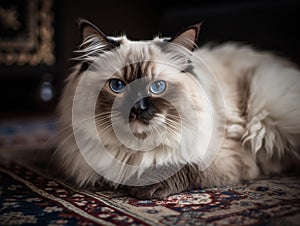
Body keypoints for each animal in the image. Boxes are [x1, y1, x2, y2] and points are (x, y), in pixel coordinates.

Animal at [55, 19, 300, 199]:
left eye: (157, 87)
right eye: (117, 86)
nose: (138, 108)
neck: (135, 150)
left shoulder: (229, 156)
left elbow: (186, 165)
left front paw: (144, 188)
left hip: (264, 104)